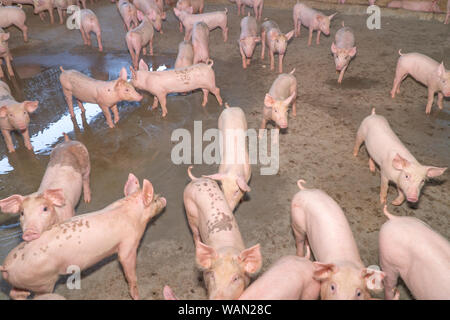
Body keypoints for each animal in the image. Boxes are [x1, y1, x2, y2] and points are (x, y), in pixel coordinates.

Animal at [0, 174, 166, 298]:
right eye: (155, 199)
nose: (164, 199)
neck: (131, 213)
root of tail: (7, 266)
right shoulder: (128, 244)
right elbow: (128, 267)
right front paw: (136, 295)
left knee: (15, 292)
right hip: (41, 281)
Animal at [184, 166, 264, 298]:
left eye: (235, 278)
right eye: (212, 275)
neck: (228, 251)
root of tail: (196, 179)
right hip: (189, 213)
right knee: (195, 234)